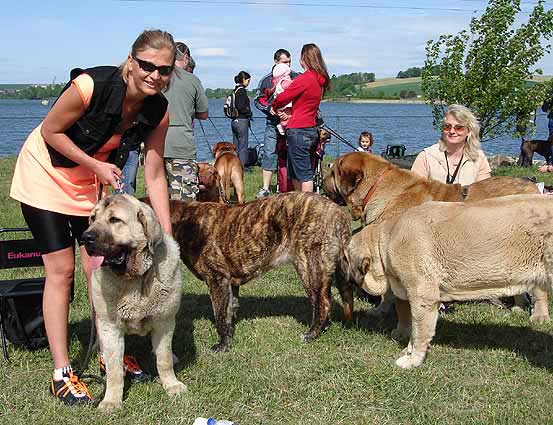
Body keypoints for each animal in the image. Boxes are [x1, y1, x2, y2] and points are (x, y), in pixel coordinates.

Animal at [82, 195, 185, 410]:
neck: (135, 279)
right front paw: (111, 400)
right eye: (93, 218)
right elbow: (113, 369)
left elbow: (163, 359)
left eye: (114, 220)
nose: (85, 237)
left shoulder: (164, 322)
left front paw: (171, 385)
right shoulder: (110, 327)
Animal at [166, 192, 352, 352]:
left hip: (308, 267)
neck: (186, 221)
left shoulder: (217, 280)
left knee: (322, 303)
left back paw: (311, 334)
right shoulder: (229, 284)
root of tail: (339, 213)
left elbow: (220, 316)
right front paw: (230, 336)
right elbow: (229, 310)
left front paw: (222, 345)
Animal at [322, 151, 544, 322]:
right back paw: (518, 308)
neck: (380, 189)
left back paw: (537, 316)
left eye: (333, 172)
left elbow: (389, 292)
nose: (322, 179)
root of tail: (535, 188)